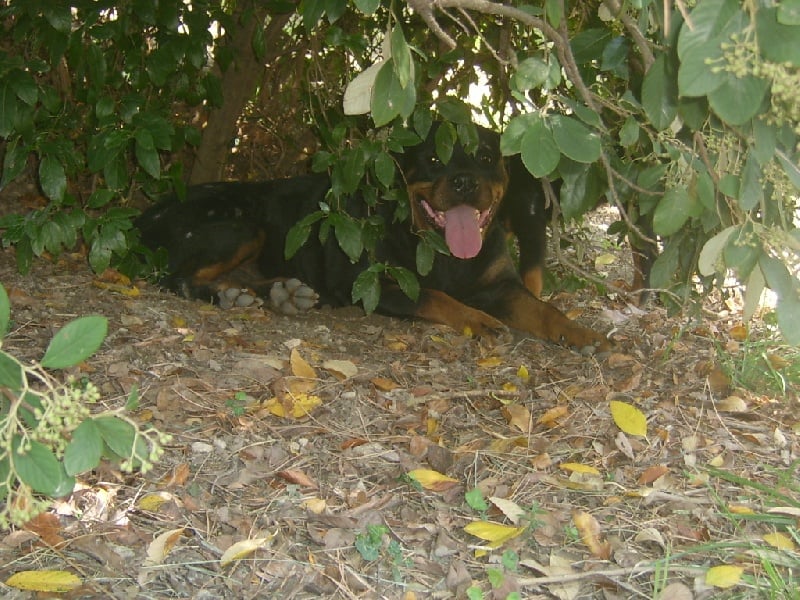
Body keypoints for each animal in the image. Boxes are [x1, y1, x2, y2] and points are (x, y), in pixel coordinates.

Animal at [139, 124, 612, 352]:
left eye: (484, 157)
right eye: (433, 159)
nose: (463, 181)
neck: (441, 249)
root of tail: (147, 212)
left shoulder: (501, 285)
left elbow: (543, 308)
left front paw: (581, 333)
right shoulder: (369, 284)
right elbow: (435, 296)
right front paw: (478, 320)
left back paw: (280, 293)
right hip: (242, 226)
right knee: (175, 277)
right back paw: (228, 296)